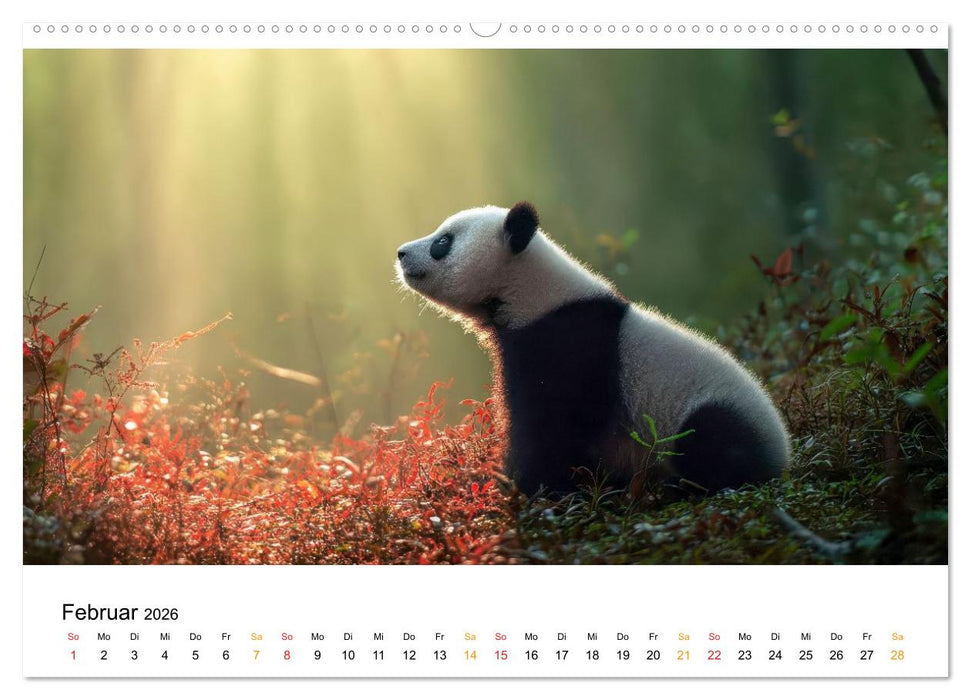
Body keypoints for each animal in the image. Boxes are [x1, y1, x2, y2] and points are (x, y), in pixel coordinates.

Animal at [395, 201, 790, 497]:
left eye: (443, 242)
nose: (400, 252)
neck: (533, 293)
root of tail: (782, 453)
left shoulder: (567, 344)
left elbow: (550, 429)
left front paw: (521, 485)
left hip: (710, 411)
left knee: (711, 440)